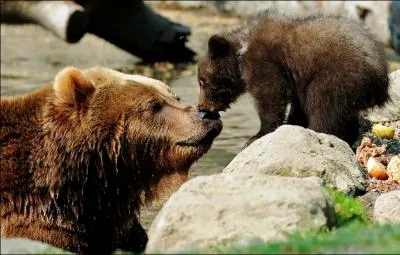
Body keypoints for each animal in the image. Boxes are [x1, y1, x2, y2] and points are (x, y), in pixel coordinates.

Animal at [197, 9, 390, 147]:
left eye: (201, 81)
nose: (201, 107)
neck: (241, 54)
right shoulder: (295, 78)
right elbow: (296, 105)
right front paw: (290, 124)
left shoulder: (266, 62)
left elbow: (271, 96)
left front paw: (256, 136)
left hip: (338, 75)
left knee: (323, 104)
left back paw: (319, 131)